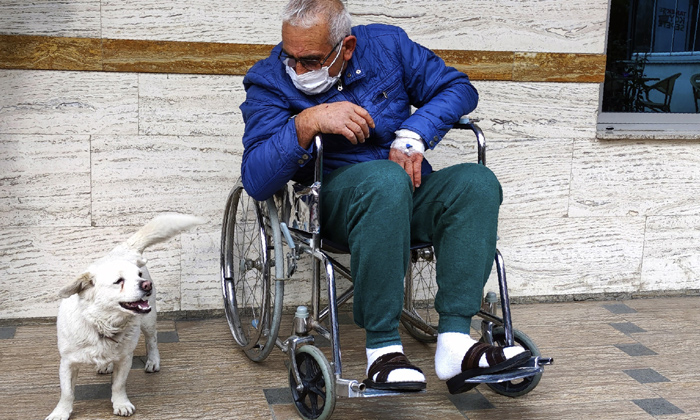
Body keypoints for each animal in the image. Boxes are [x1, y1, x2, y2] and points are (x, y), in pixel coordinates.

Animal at [47, 213, 202, 420]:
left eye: (138, 275)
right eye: (119, 281)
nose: (146, 284)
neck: (103, 324)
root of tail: (124, 248)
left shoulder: (125, 359)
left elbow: (118, 385)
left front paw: (121, 404)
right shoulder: (67, 363)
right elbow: (67, 392)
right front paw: (61, 412)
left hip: (148, 322)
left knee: (152, 340)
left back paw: (153, 361)